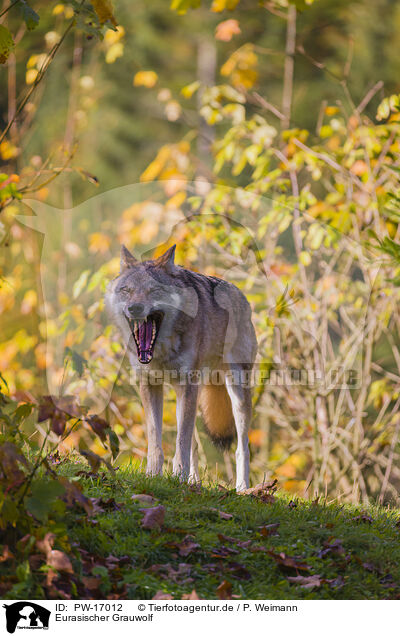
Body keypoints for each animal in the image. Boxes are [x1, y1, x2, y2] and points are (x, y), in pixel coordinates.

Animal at [104, 245, 258, 492]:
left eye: (154, 290)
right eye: (126, 290)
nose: (134, 308)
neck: (161, 351)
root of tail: (241, 296)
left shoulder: (188, 385)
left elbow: (181, 443)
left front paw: (177, 476)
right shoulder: (150, 384)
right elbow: (157, 440)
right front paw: (153, 475)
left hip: (236, 392)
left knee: (241, 448)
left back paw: (242, 488)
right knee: (193, 444)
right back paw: (194, 481)